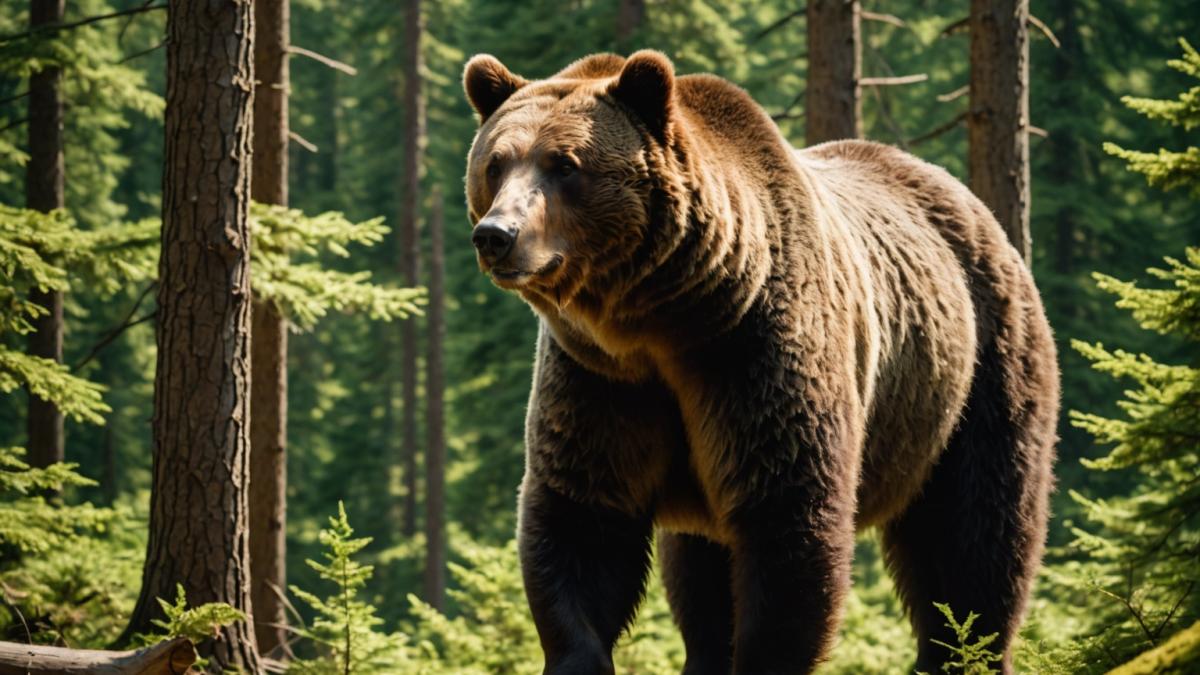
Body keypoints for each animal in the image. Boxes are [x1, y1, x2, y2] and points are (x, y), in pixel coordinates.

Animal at [461, 50, 1059, 675]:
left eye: (565, 164)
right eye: (496, 163)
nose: (496, 234)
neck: (660, 323)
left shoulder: (751, 355)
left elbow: (786, 524)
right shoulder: (601, 378)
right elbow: (584, 516)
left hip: (975, 373)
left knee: (977, 535)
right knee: (699, 574)